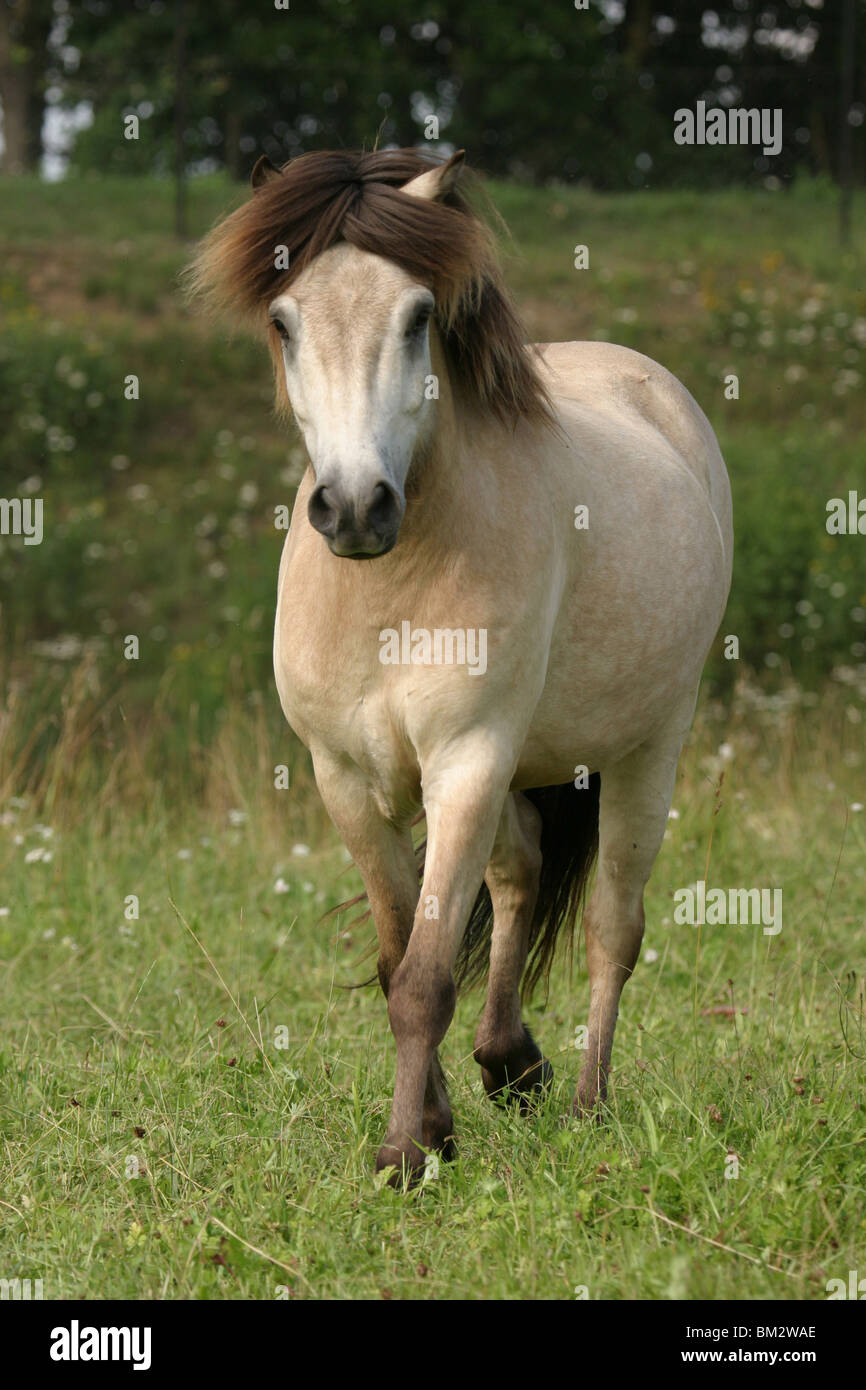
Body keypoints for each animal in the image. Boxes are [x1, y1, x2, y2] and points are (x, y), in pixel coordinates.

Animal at [192, 148, 733, 1185]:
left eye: (416, 317)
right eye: (284, 321)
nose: (355, 507)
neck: (389, 592)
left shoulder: (466, 763)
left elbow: (425, 976)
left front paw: (405, 1152)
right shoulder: (345, 780)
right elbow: (397, 957)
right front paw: (438, 1124)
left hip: (647, 750)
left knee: (612, 929)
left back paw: (589, 1103)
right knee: (521, 882)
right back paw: (509, 1061)